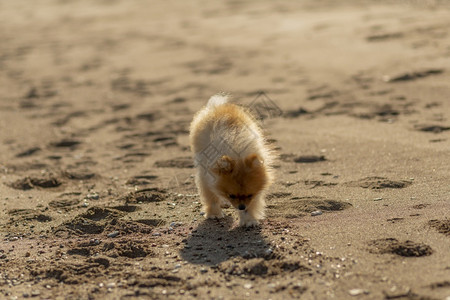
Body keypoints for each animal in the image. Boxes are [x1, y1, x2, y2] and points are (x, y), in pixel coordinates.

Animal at [189, 93, 274, 225]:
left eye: (250, 195)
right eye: (231, 196)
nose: (241, 207)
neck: (238, 155)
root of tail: (217, 106)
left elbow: (253, 205)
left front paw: (249, 220)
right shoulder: (206, 176)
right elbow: (211, 198)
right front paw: (214, 214)